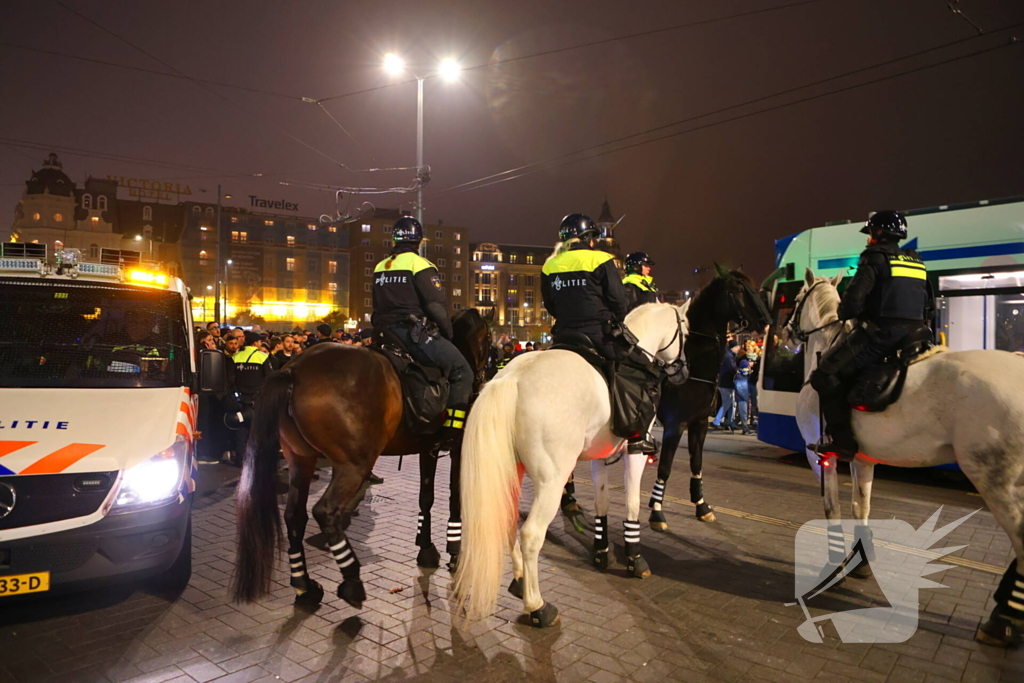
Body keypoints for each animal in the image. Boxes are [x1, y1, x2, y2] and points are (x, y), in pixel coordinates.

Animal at [232, 309, 491, 610]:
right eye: (487, 341)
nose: (483, 377)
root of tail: (293, 370)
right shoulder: (458, 446)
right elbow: (455, 497)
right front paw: (455, 551)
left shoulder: (428, 448)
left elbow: (426, 497)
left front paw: (426, 548)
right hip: (353, 465)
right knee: (325, 511)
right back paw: (351, 580)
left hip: (301, 459)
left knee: (295, 516)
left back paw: (304, 585)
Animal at [454, 301, 688, 626]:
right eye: (686, 330)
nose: (683, 371)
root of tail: (511, 378)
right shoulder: (636, 453)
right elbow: (631, 503)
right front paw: (634, 558)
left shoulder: (598, 456)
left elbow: (602, 501)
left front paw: (602, 551)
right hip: (551, 481)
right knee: (531, 535)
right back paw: (537, 606)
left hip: (512, 471)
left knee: (508, 521)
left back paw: (519, 579)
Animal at [647, 266, 770, 528]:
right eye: (739, 289)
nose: (766, 322)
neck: (693, 369)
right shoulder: (675, 425)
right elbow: (665, 467)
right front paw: (657, 512)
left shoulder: (700, 423)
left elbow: (697, 463)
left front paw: (702, 506)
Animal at [790, 270, 1024, 651]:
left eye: (796, 298)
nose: (787, 331)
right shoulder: (861, 458)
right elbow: (861, 506)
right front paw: (861, 561)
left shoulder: (821, 457)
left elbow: (832, 509)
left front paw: (834, 567)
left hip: (995, 480)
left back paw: (1005, 620)